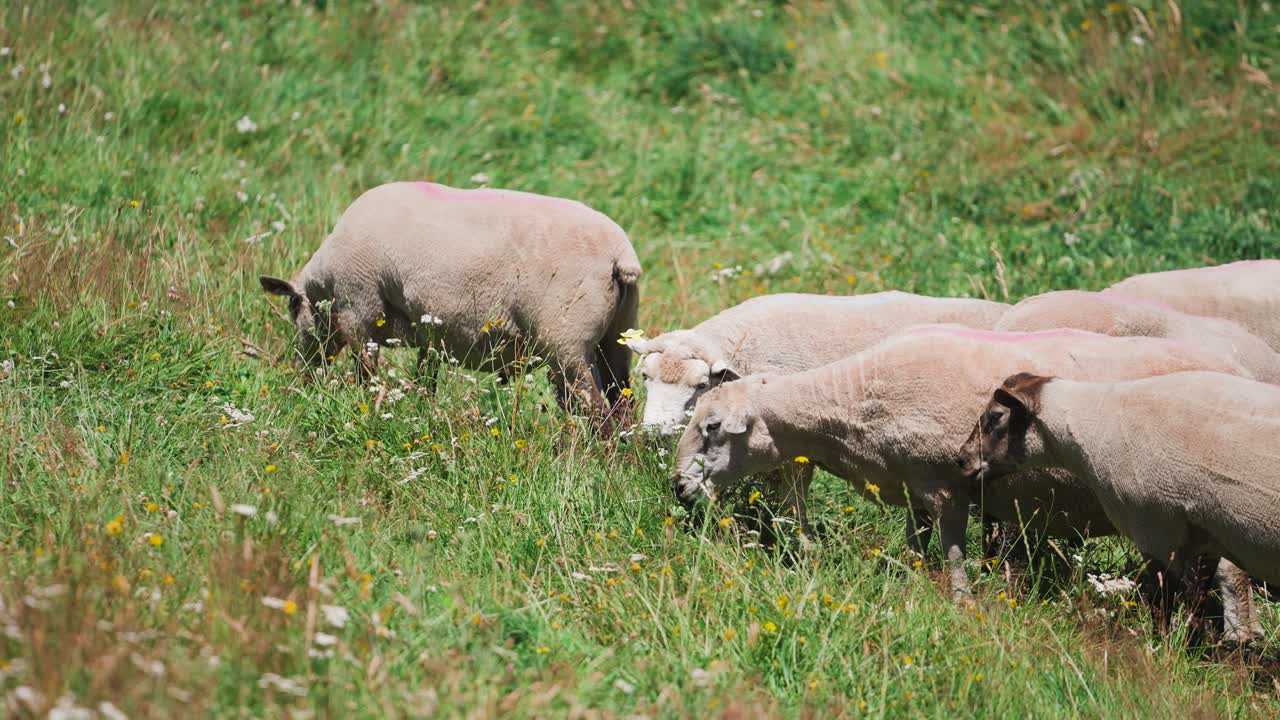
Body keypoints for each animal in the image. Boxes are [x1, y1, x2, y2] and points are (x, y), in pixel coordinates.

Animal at [260, 181, 641, 426]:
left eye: (292, 307)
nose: (305, 372)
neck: (325, 285)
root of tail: (620, 255)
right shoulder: (430, 330)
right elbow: (425, 378)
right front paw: (421, 411)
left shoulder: (360, 310)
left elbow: (365, 373)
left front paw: (365, 405)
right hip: (615, 339)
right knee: (623, 406)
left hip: (566, 343)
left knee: (597, 412)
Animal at [671, 326, 1255, 604]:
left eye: (713, 427)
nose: (677, 488)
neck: (856, 402)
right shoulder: (914, 488)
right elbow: (915, 546)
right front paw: (912, 586)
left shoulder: (949, 486)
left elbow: (953, 555)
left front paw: (960, 604)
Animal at [958, 371, 1279, 638]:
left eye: (995, 416)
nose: (962, 458)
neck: (1092, 426)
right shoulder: (1205, 538)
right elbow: (1196, 604)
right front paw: (1194, 649)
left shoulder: (1157, 531)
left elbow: (1161, 607)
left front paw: (1160, 651)